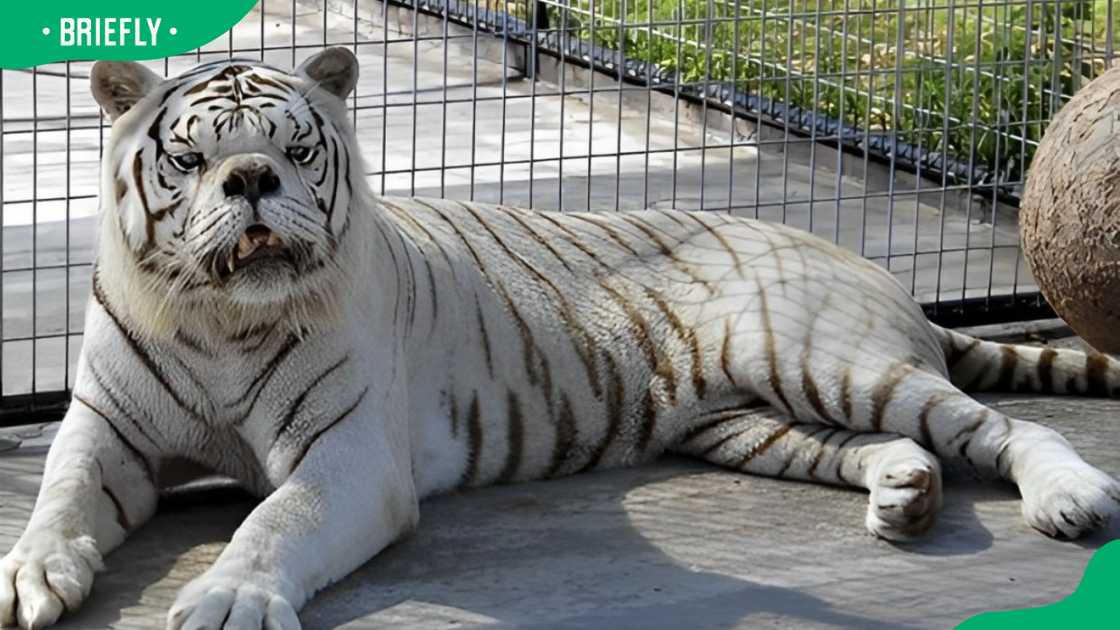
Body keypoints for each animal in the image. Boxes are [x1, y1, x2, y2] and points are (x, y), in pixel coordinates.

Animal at [2, 49, 1120, 627]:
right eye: (192, 159)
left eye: (295, 149)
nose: (250, 181)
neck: (219, 316)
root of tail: (881, 273)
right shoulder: (106, 431)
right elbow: (58, 500)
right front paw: (28, 576)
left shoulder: (350, 454)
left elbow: (274, 522)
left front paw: (228, 598)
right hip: (749, 421)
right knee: (893, 448)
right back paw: (906, 496)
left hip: (824, 360)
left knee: (1001, 428)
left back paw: (1069, 498)